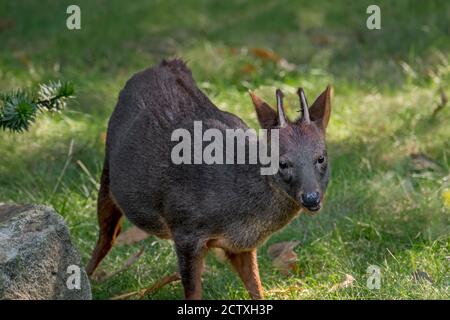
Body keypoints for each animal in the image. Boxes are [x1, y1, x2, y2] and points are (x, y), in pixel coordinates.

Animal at [86, 58, 332, 300]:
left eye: (321, 157)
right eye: (282, 163)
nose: (311, 198)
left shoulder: (240, 246)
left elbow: (256, 288)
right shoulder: (185, 229)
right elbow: (193, 292)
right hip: (107, 172)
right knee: (107, 236)